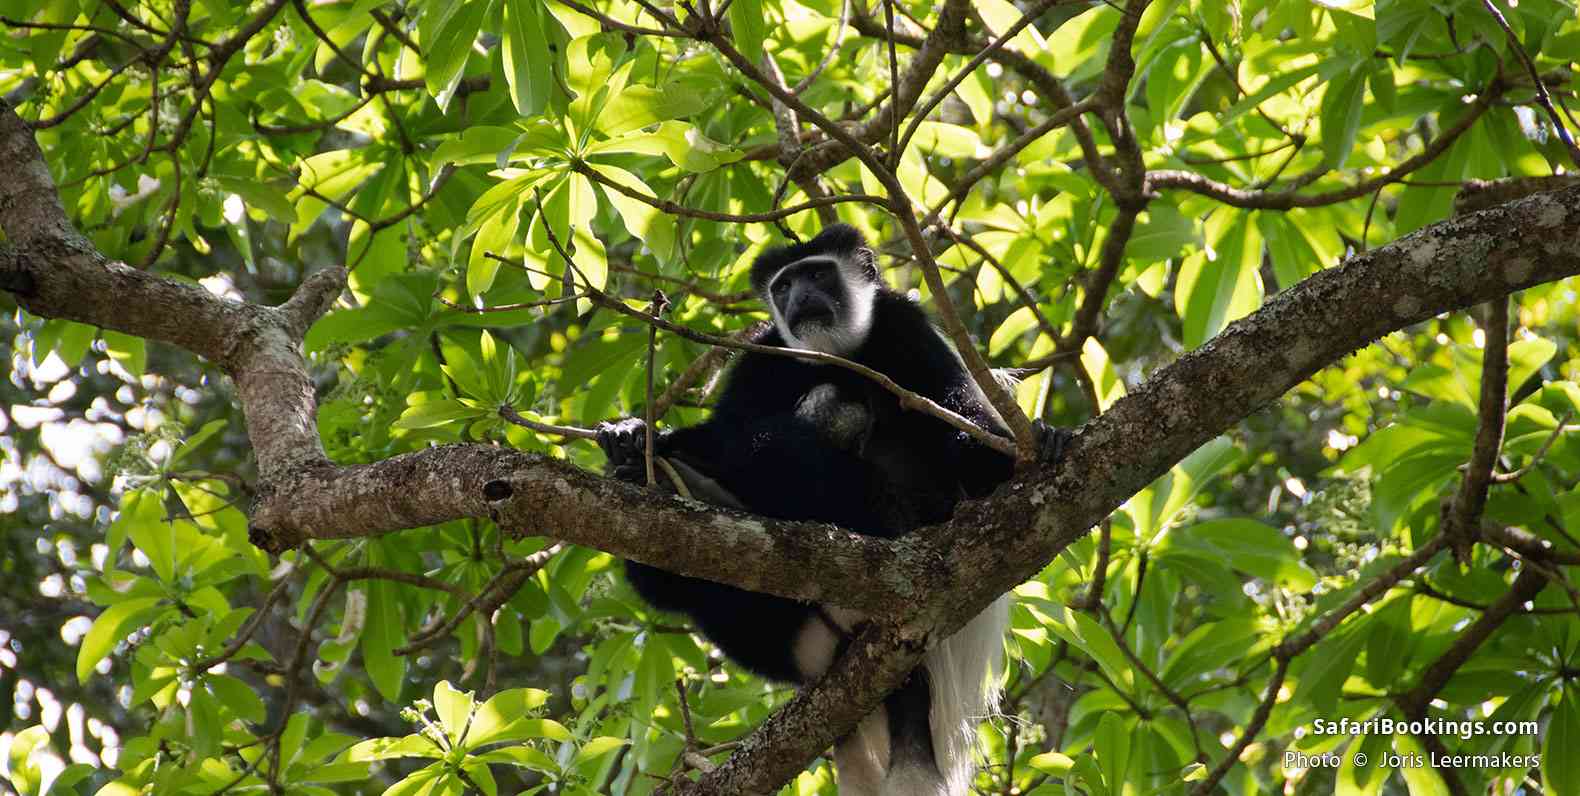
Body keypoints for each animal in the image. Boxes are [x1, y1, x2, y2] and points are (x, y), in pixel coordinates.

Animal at [597, 221, 1068, 792]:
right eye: (783, 286)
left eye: (819, 274)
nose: (800, 298)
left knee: (830, 422)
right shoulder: (764, 354)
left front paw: (1039, 441)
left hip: (904, 510)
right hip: (792, 633)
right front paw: (635, 437)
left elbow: (963, 421)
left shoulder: (904, 326)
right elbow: (728, 422)